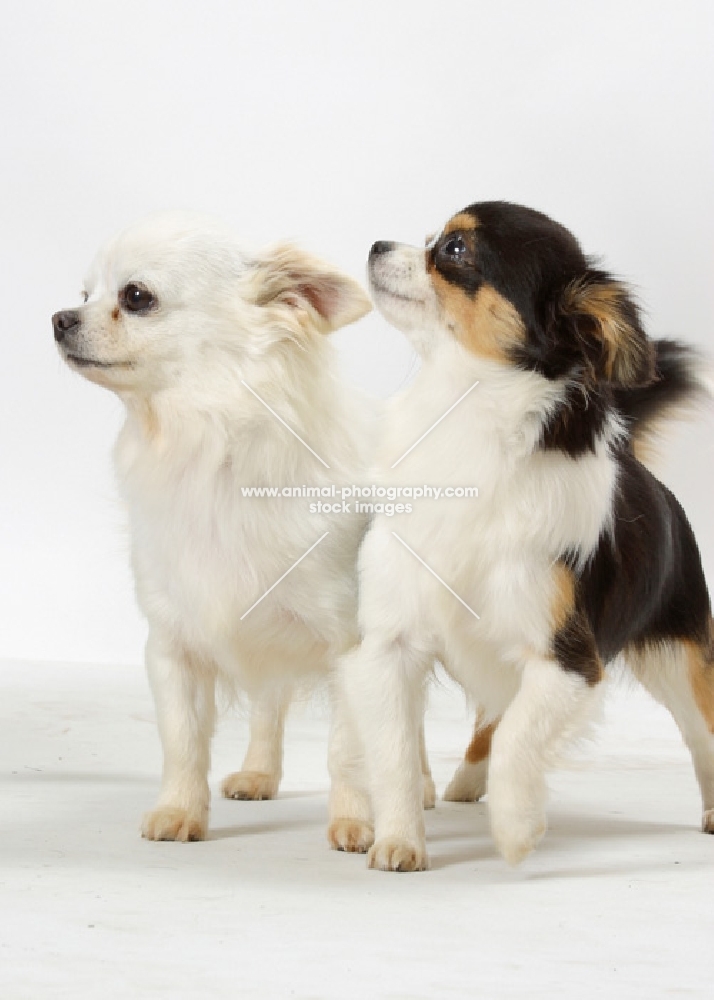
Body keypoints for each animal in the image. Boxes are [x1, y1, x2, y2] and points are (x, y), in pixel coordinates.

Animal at [52, 209, 412, 844]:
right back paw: (258, 775)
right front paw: (179, 811)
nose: (58, 319)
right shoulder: (173, 647)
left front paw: (354, 821)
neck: (205, 449)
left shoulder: (352, 648)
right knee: (270, 709)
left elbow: (349, 750)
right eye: (84, 294)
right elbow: (183, 741)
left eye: (136, 297)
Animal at [340, 201, 712, 868]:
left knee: (702, 734)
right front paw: (399, 841)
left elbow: (520, 737)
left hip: (681, 656)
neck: (463, 415)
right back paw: (465, 784)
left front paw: (515, 829)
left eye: (454, 250)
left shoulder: (569, 660)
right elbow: (396, 755)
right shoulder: (389, 644)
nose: (377, 244)